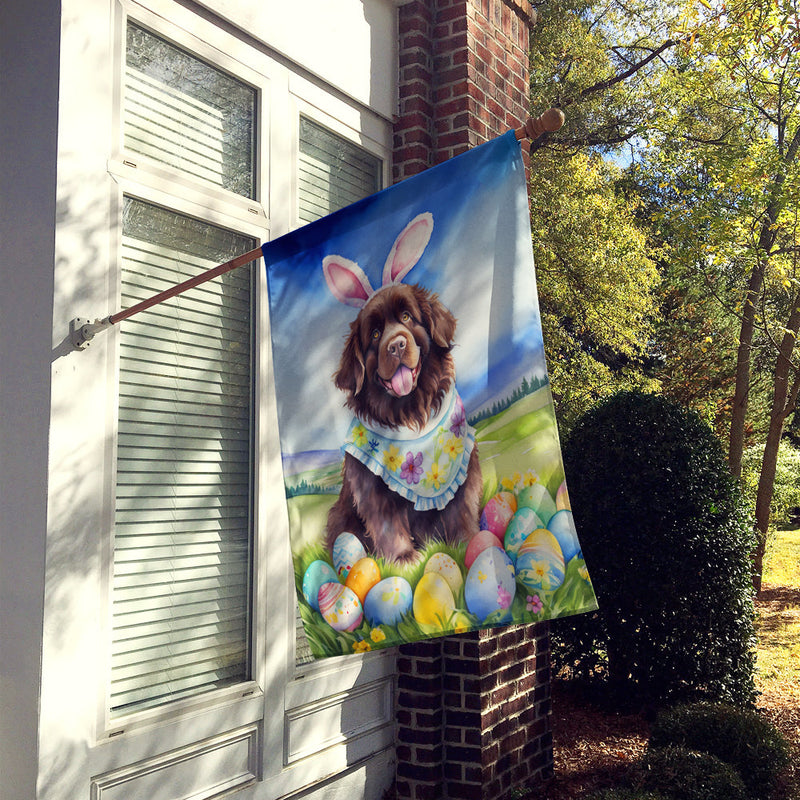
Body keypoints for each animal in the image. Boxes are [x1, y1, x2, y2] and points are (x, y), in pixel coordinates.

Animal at [322, 212, 484, 564]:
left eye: (407, 317)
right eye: (374, 334)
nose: (395, 345)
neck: (411, 415)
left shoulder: (464, 470)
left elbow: (461, 511)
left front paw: (470, 544)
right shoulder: (370, 485)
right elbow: (387, 523)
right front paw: (404, 560)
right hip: (341, 516)